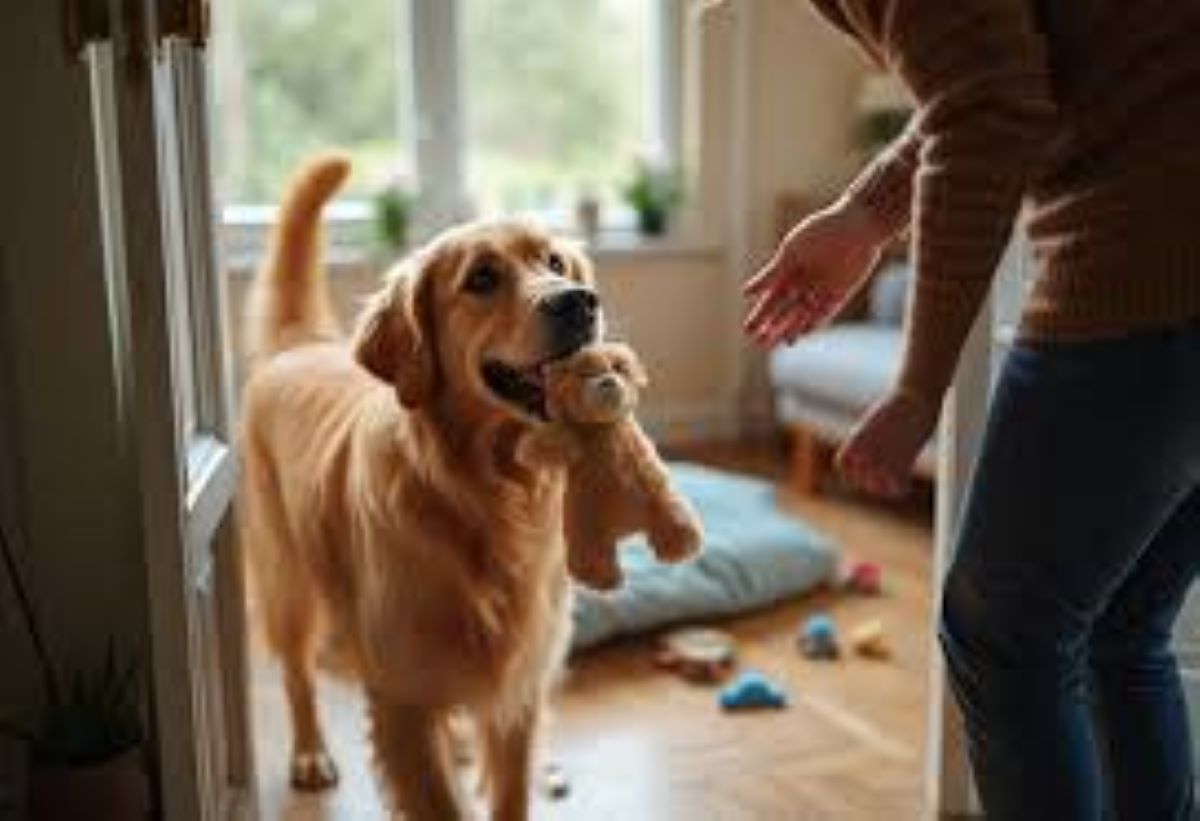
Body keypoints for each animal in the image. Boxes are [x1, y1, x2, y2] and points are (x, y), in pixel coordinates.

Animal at [240, 156, 604, 820]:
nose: (580, 303)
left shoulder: (518, 690)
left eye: (555, 262)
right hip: (289, 581)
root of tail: (299, 342)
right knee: (297, 672)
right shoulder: (402, 704)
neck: (488, 495)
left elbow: (509, 792)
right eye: (482, 277)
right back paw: (309, 753)